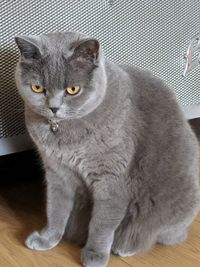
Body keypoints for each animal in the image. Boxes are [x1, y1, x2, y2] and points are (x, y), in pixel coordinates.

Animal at [14, 31, 199, 267]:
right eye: (37, 88)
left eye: (73, 90)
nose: (53, 108)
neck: (64, 135)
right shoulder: (57, 172)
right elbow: (55, 209)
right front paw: (48, 239)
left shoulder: (111, 179)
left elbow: (101, 223)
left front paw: (95, 255)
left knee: (158, 233)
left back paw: (126, 247)